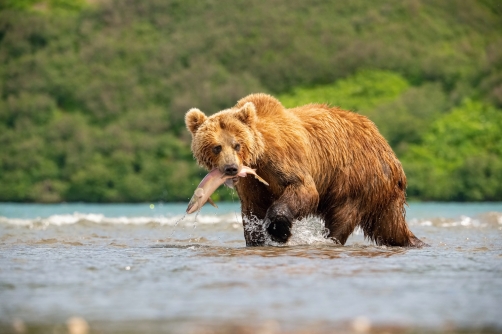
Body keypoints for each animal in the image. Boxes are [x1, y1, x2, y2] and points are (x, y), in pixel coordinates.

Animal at [186, 92, 426, 247]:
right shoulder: (252, 184)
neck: (258, 157)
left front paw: (279, 231)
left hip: (354, 177)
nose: (231, 168)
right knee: (389, 227)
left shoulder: (282, 158)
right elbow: (252, 211)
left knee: (343, 215)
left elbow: (303, 189)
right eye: (216, 147)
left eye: (237, 144)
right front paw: (257, 239)